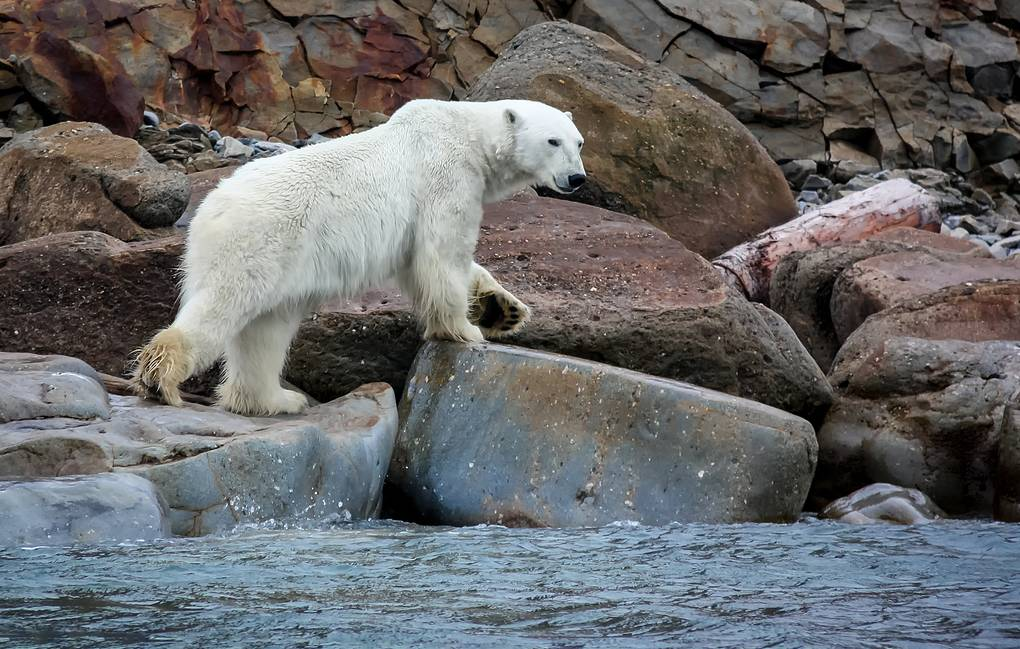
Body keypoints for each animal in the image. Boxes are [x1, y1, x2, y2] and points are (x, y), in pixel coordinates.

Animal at [131, 100, 587, 416]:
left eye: (579, 142)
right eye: (553, 141)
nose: (577, 178)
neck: (467, 134)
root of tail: (208, 211)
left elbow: (425, 262)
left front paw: (502, 309)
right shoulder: (447, 178)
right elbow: (442, 254)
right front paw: (463, 329)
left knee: (265, 329)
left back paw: (275, 400)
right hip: (260, 242)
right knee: (224, 307)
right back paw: (161, 377)